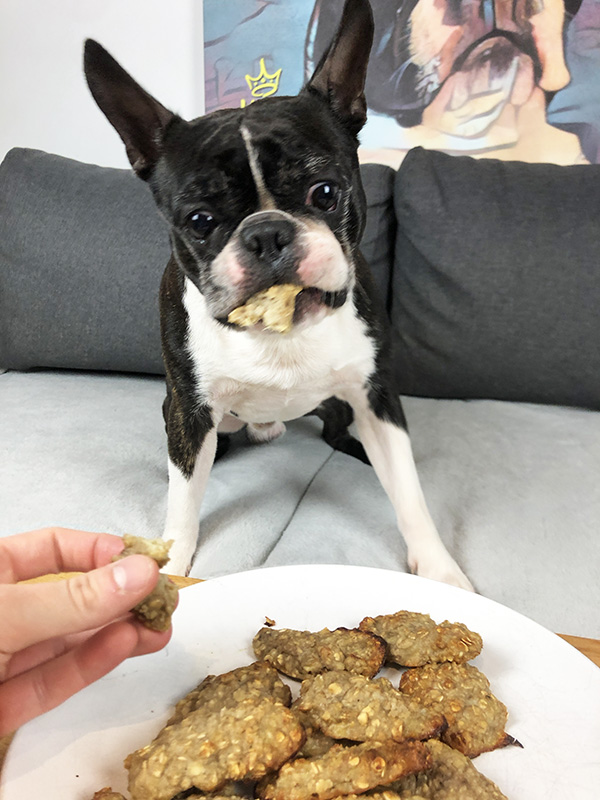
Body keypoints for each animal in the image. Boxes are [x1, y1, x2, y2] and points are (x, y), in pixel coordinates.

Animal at [83, 0, 474, 592]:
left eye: (326, 192)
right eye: (199, 221)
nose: (267, 233)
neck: (278, 330)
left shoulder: (377, 395)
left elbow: (409, 492)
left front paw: (438, 570)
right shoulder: (189, 413)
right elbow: (183, 503)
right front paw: (172, 566)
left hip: (343, 404)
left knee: (340, 432)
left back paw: (353, 448)